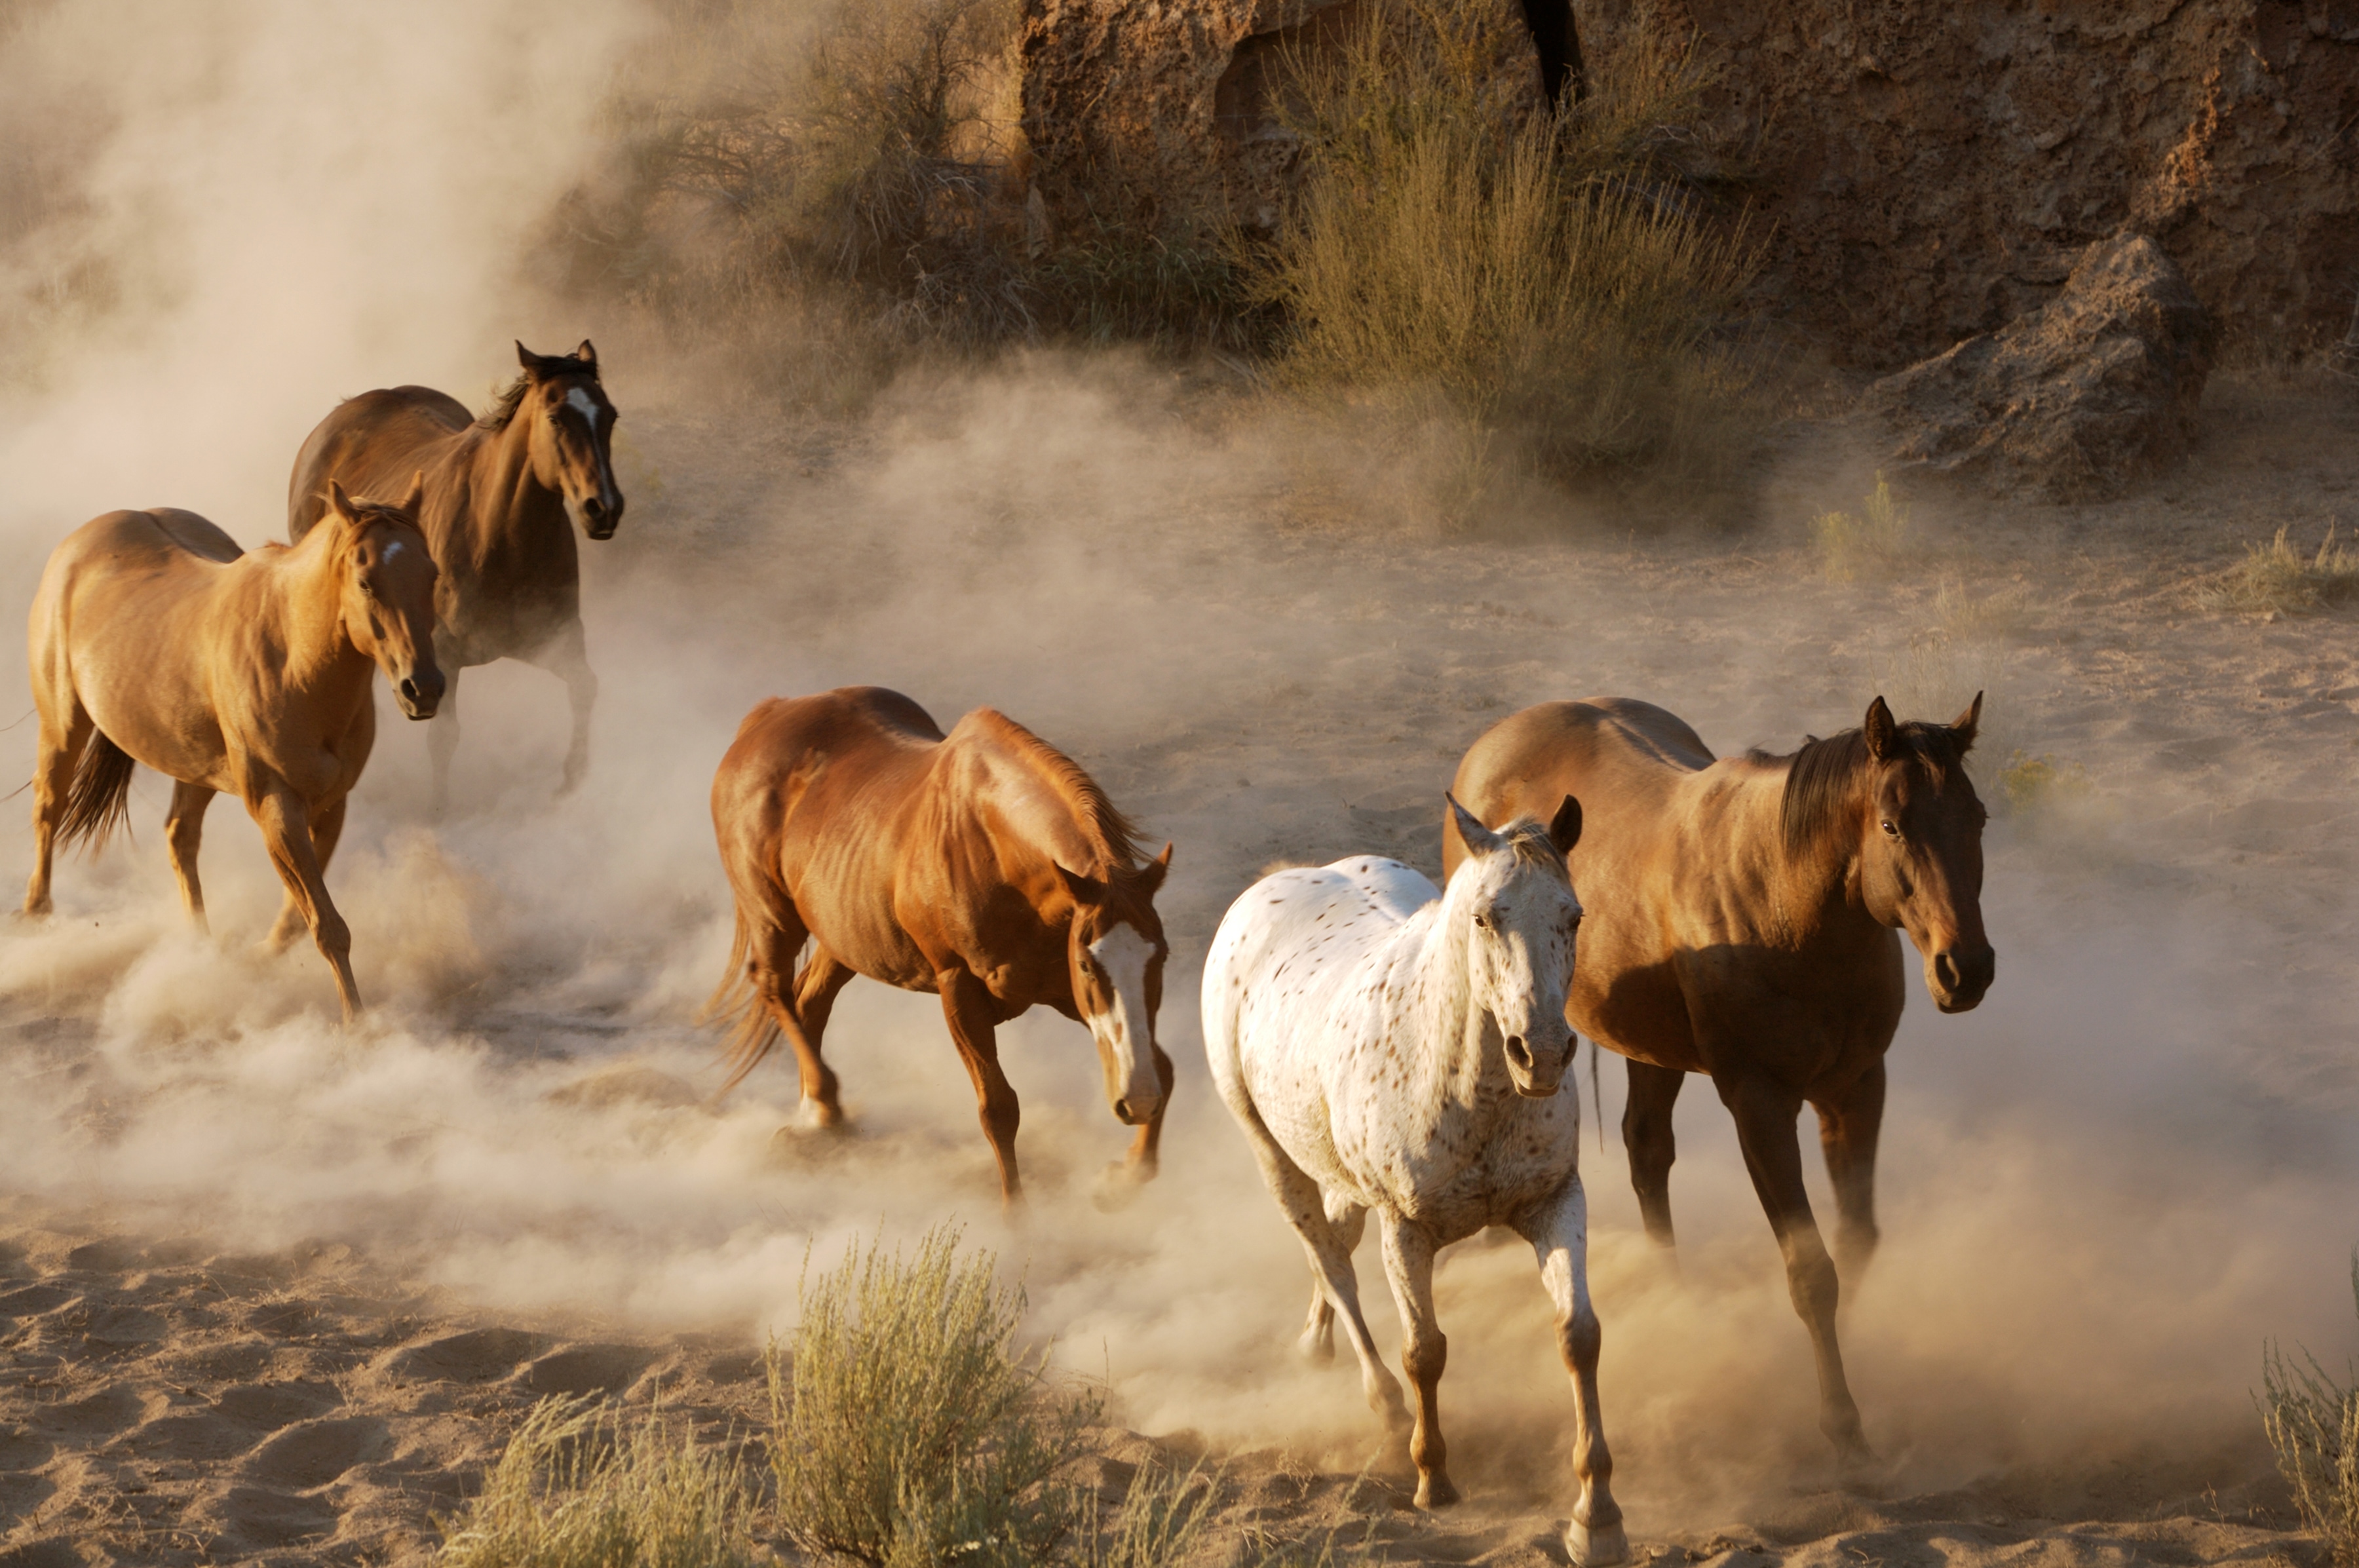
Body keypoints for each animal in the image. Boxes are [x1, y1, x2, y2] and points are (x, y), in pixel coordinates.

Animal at [22, 480, 443, 1022]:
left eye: (431, 574)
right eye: (367, 581)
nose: (424, 689)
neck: (294, 660)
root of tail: (81, 540)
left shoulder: (330, 805)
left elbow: (300, 920)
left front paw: (258, 959)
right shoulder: (275, 806)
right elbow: (327, 925)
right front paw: (357, 1023)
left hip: (194, 767)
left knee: (179, 836)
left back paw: (201, 949)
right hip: (63, 726)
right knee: (49, 808)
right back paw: (37, 917)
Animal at [286, 340, 622, 813]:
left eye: (610, 415)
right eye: (556, 418)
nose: (604, 508)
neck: (499, 536)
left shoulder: (556, 638)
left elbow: (584, 687)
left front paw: (573, 781)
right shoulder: (440, 656)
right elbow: (443, 737)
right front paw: (440, 810)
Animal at [703, 686, 1175, 1207]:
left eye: (1161, 957)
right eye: (1088, 965)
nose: (1137, 1100)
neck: (993, 849)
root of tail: (769, 714)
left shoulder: (1058, 990)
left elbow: (1164, 1066)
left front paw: (1125, 1176)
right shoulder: (961, 990)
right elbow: (998, 1108)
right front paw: (1017, 1217)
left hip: (843, 937)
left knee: (811, 1002)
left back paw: (815, 1120)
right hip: (774, 917)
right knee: (774, 987)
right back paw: (824, 1108)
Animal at [1202, 795, 1627, 1566]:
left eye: (1574, 915)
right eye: (1485, 917)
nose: (1542, 1053)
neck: (1467, 1084)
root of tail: (1281, 879)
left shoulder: (1555, 1203)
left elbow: (1578, 1335)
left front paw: (1597, 1515)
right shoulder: (1407, 1230)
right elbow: (1424, 1350)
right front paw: (1434, 1479)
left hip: (1336, 1172)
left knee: (1335, 1243)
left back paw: (1315, 1342)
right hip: (1271, 1154)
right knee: (1332, 1262)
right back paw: (1383, 1404)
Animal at [1446, 694, 1994, 1466]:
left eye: (1977, 818)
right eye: (1892, 823)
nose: (1965, 969)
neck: (1791, 908)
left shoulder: (1856, 1089)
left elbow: (1856, 1240)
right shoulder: (1759, 1105)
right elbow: (1811, 1270)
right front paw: (1841, 1422)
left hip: (1650, 1048)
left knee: (1648, 1151)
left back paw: (1675, 1296)